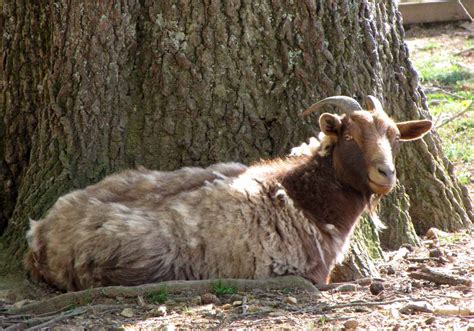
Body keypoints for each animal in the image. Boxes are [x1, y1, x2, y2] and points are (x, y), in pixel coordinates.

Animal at [25, 95, 434, 290]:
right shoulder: (306, 274)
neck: (298, 196)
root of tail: (40, 233)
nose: (386, 173)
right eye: (349, 136)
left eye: (394, 138)